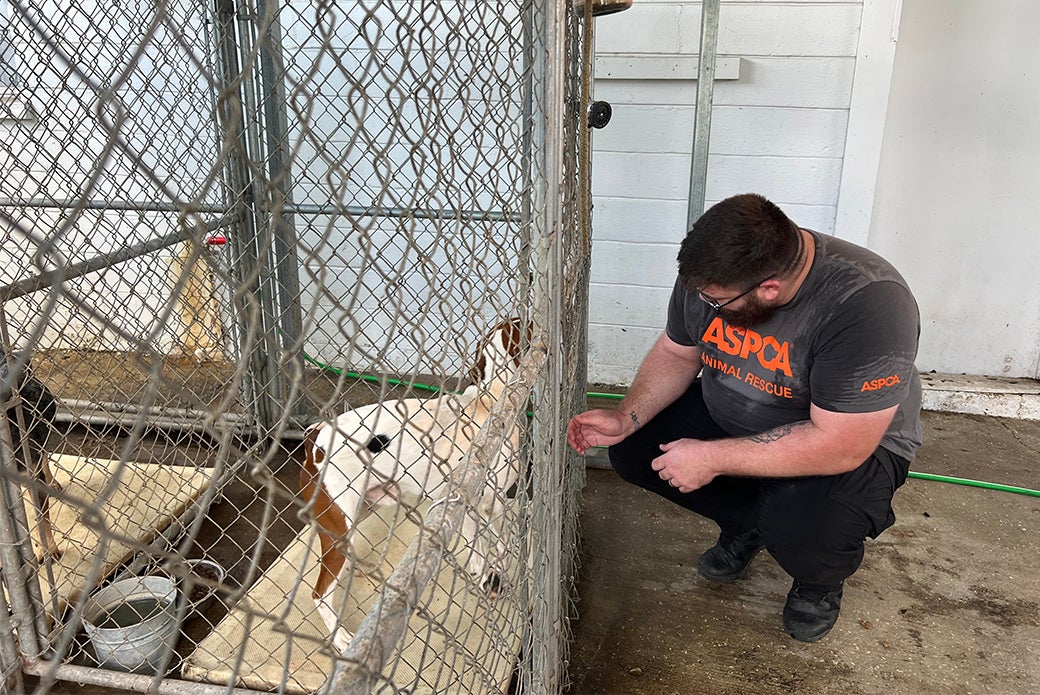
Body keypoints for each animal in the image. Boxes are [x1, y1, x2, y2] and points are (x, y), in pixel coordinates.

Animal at [300, 318, 529, 651]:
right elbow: (500, 547)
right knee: (319, 593)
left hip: (359, 513)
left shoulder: (468, 503)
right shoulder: (491, 503)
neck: (490, 399)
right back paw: (340, 638)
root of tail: (313, 437)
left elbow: (480, 549)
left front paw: (484, 575)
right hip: (341, 527)